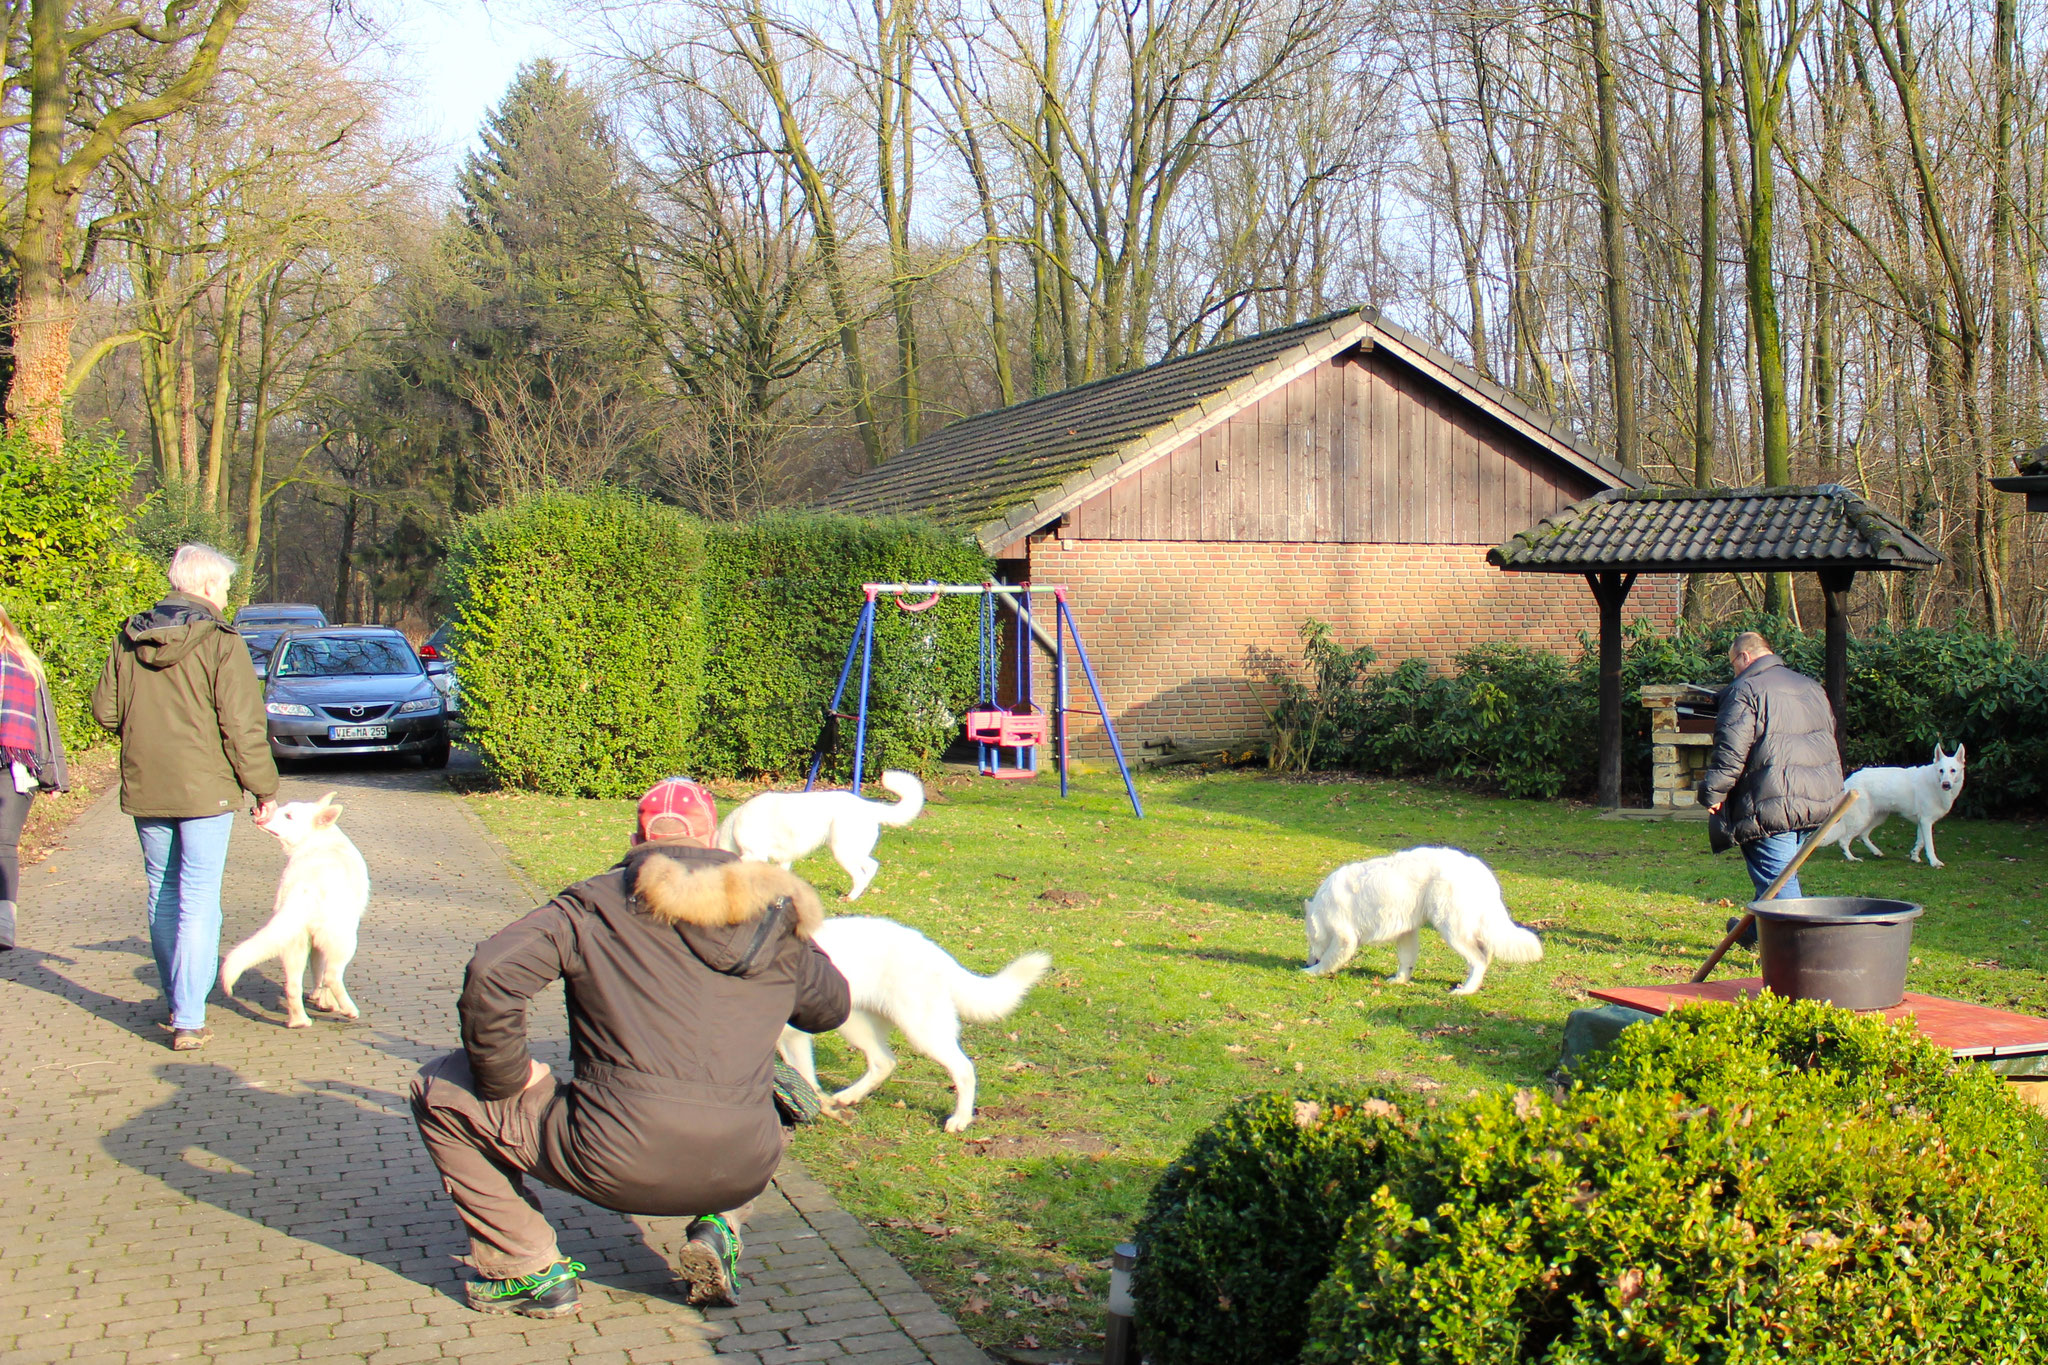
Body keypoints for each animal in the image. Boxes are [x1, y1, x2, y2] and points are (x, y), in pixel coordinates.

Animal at [220, 794, 372, 1031]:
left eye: (288, 815)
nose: (254, 810)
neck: (317, 841)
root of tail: (304, 886)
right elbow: (323, 977)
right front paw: (328, 1003)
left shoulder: (315, 946)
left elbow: (317, 973)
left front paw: (320, 999)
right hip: (344, 941)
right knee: (332, 976)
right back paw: (349, 1010)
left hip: (294, 943)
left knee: (293, 986)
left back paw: (299, 1021)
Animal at [712, 773, 921, 900]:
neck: (732, 828)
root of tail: (867, 806)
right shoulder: (783, 859)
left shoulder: (754, 855)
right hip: (854, 851)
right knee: (871, 866)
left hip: (842, 852)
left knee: (860, 874)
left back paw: (850, 898)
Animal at [774, 916, 1048, 1129]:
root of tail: (931, 948)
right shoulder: (790, 1038)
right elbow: (806, 1081)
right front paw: (824, 1107)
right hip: (853, 1024)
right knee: (884, 1061)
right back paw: (848, 1097)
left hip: (921, 1031)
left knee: (964, 1069)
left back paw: (960, 1118)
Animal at [1302, 847, 1540, 998]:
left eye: (1309, 940)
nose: (1306, 962)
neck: (1322, 908)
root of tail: (1480, 870)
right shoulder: (1406, 932)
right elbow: (1406, 960)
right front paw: (1400, 980)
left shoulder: (1345, 938)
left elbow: (1329, 959)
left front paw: (1312, 972)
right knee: (1487, 952)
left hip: (1452, 930)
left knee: (1479, 960)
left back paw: (1466, 990)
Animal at [1826, 740, 1966, 871]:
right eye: (1941, 771)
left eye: (1953, 770)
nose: (1946, 785)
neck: (1935, 782)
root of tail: (1848, 780)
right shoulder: (1926, 821)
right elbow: (1929, 844)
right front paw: (1934, 862)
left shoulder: (1923, 822)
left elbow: (1921, 842)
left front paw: (1914, 856)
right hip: (1861, 819)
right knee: (1843, 840)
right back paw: (1852, 858)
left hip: (1877, 818)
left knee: (1863, 835)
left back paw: (1876, 852)